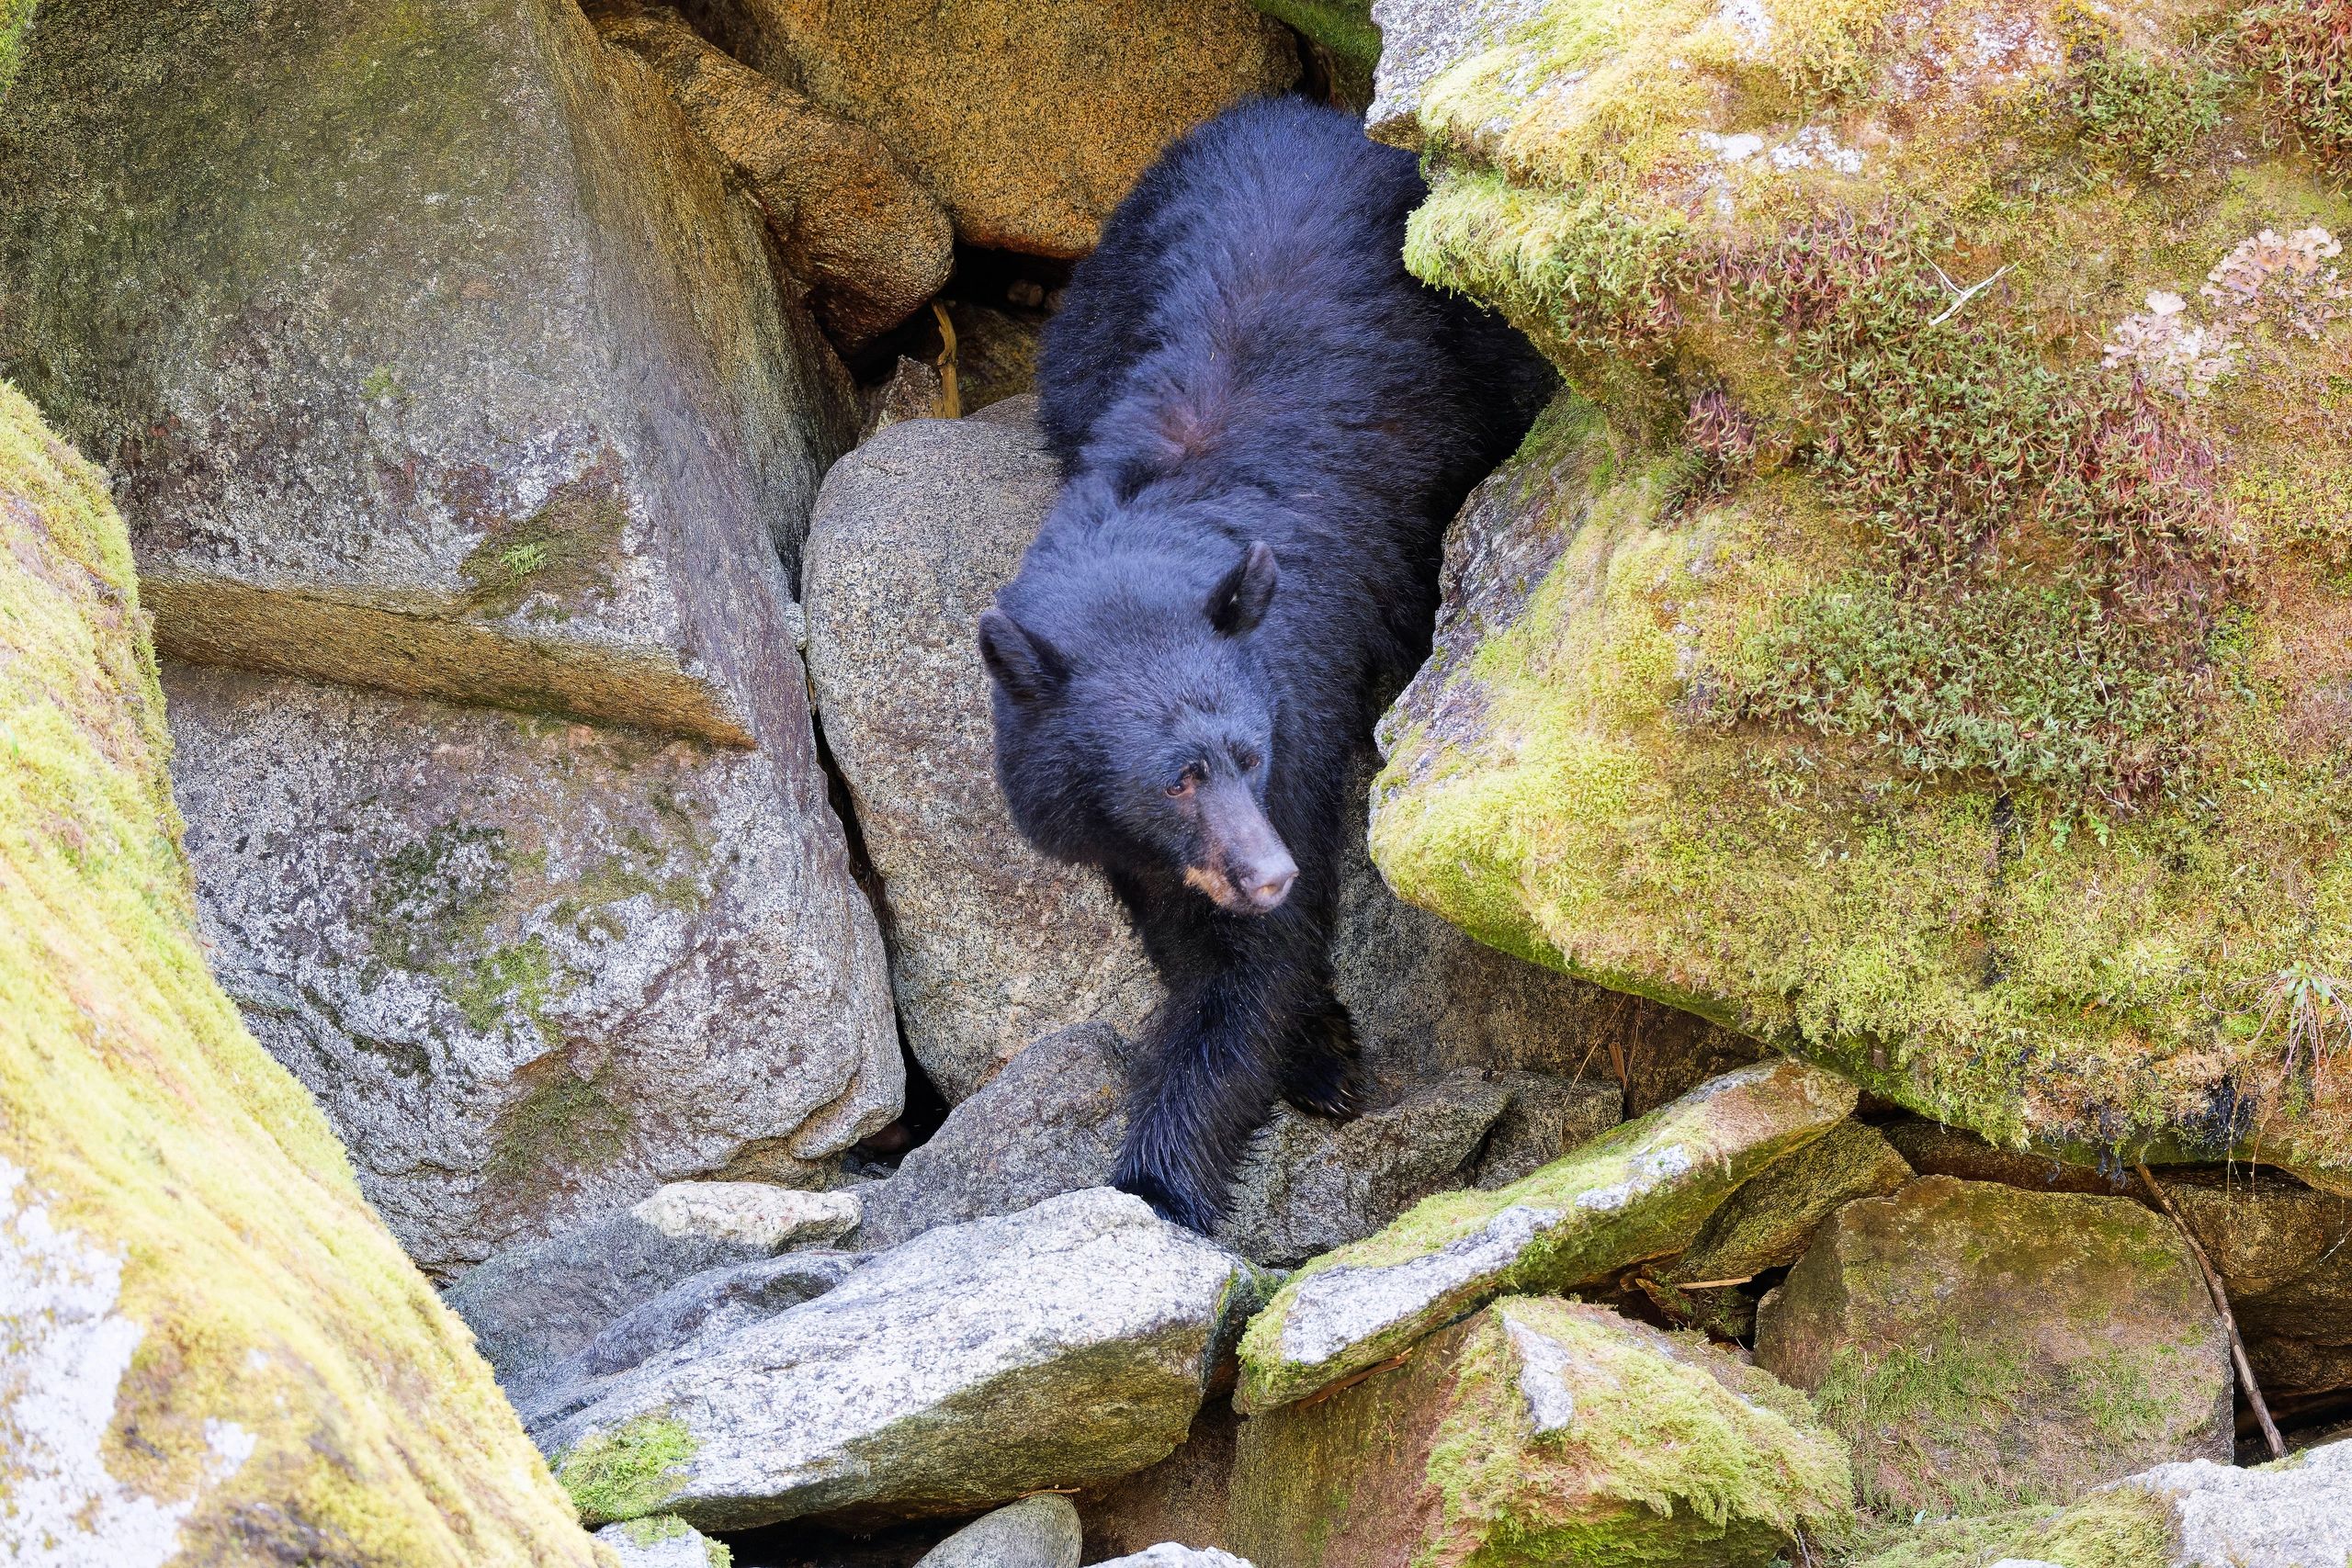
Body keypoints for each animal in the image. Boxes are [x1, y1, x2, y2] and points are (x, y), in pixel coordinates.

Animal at [978, 97, 1556, 1233]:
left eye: (1246, 754)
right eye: (1176, 778)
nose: (1267, 871)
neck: (1154, 526)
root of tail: (1296, 109)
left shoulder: (1302, 702)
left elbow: (1254, 970)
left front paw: (1159, 1178)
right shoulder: (1114, 822)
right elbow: (1185, 935)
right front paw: (1314, 1050)